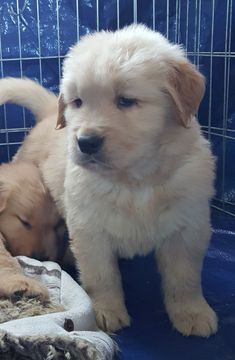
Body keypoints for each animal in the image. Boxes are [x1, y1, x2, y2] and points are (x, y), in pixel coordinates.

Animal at [0, 25, 218, 338]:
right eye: (77, 102)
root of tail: (49, 114)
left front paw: (192, 312)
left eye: (126, 101)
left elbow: (184, 277)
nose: (85, 142)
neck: (135, 180)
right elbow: (101, 276)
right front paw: (105, 312)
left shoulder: (189, 226)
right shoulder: (89, 230)